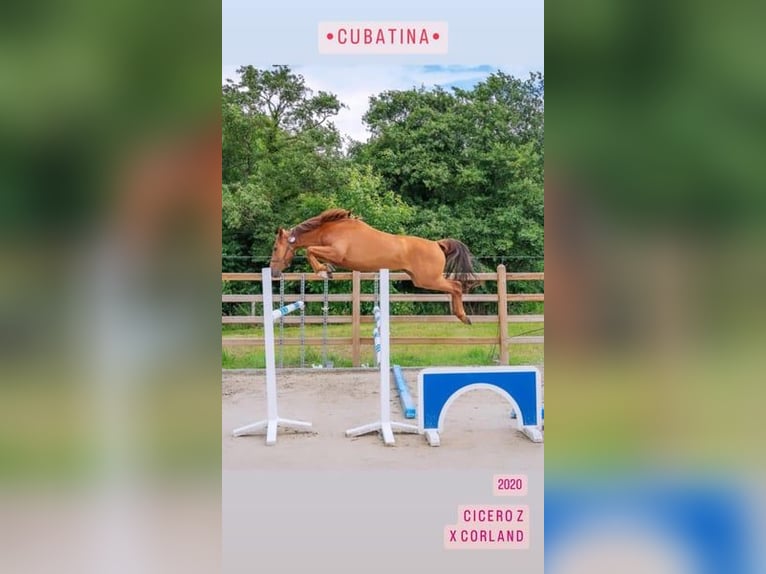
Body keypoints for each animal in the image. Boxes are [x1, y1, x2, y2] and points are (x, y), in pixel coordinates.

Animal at [269, 208, 478, 324]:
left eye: (274, 248)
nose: (273, 272)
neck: (332, 229)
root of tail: (437, 244)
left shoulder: (337, 253)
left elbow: (309, 250)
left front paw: (322, 272)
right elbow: (312, 251)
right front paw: (326, 270)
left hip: (428, 279)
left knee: (456, 286)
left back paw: (463, 317)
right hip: (422, 279)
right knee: (455, 288)